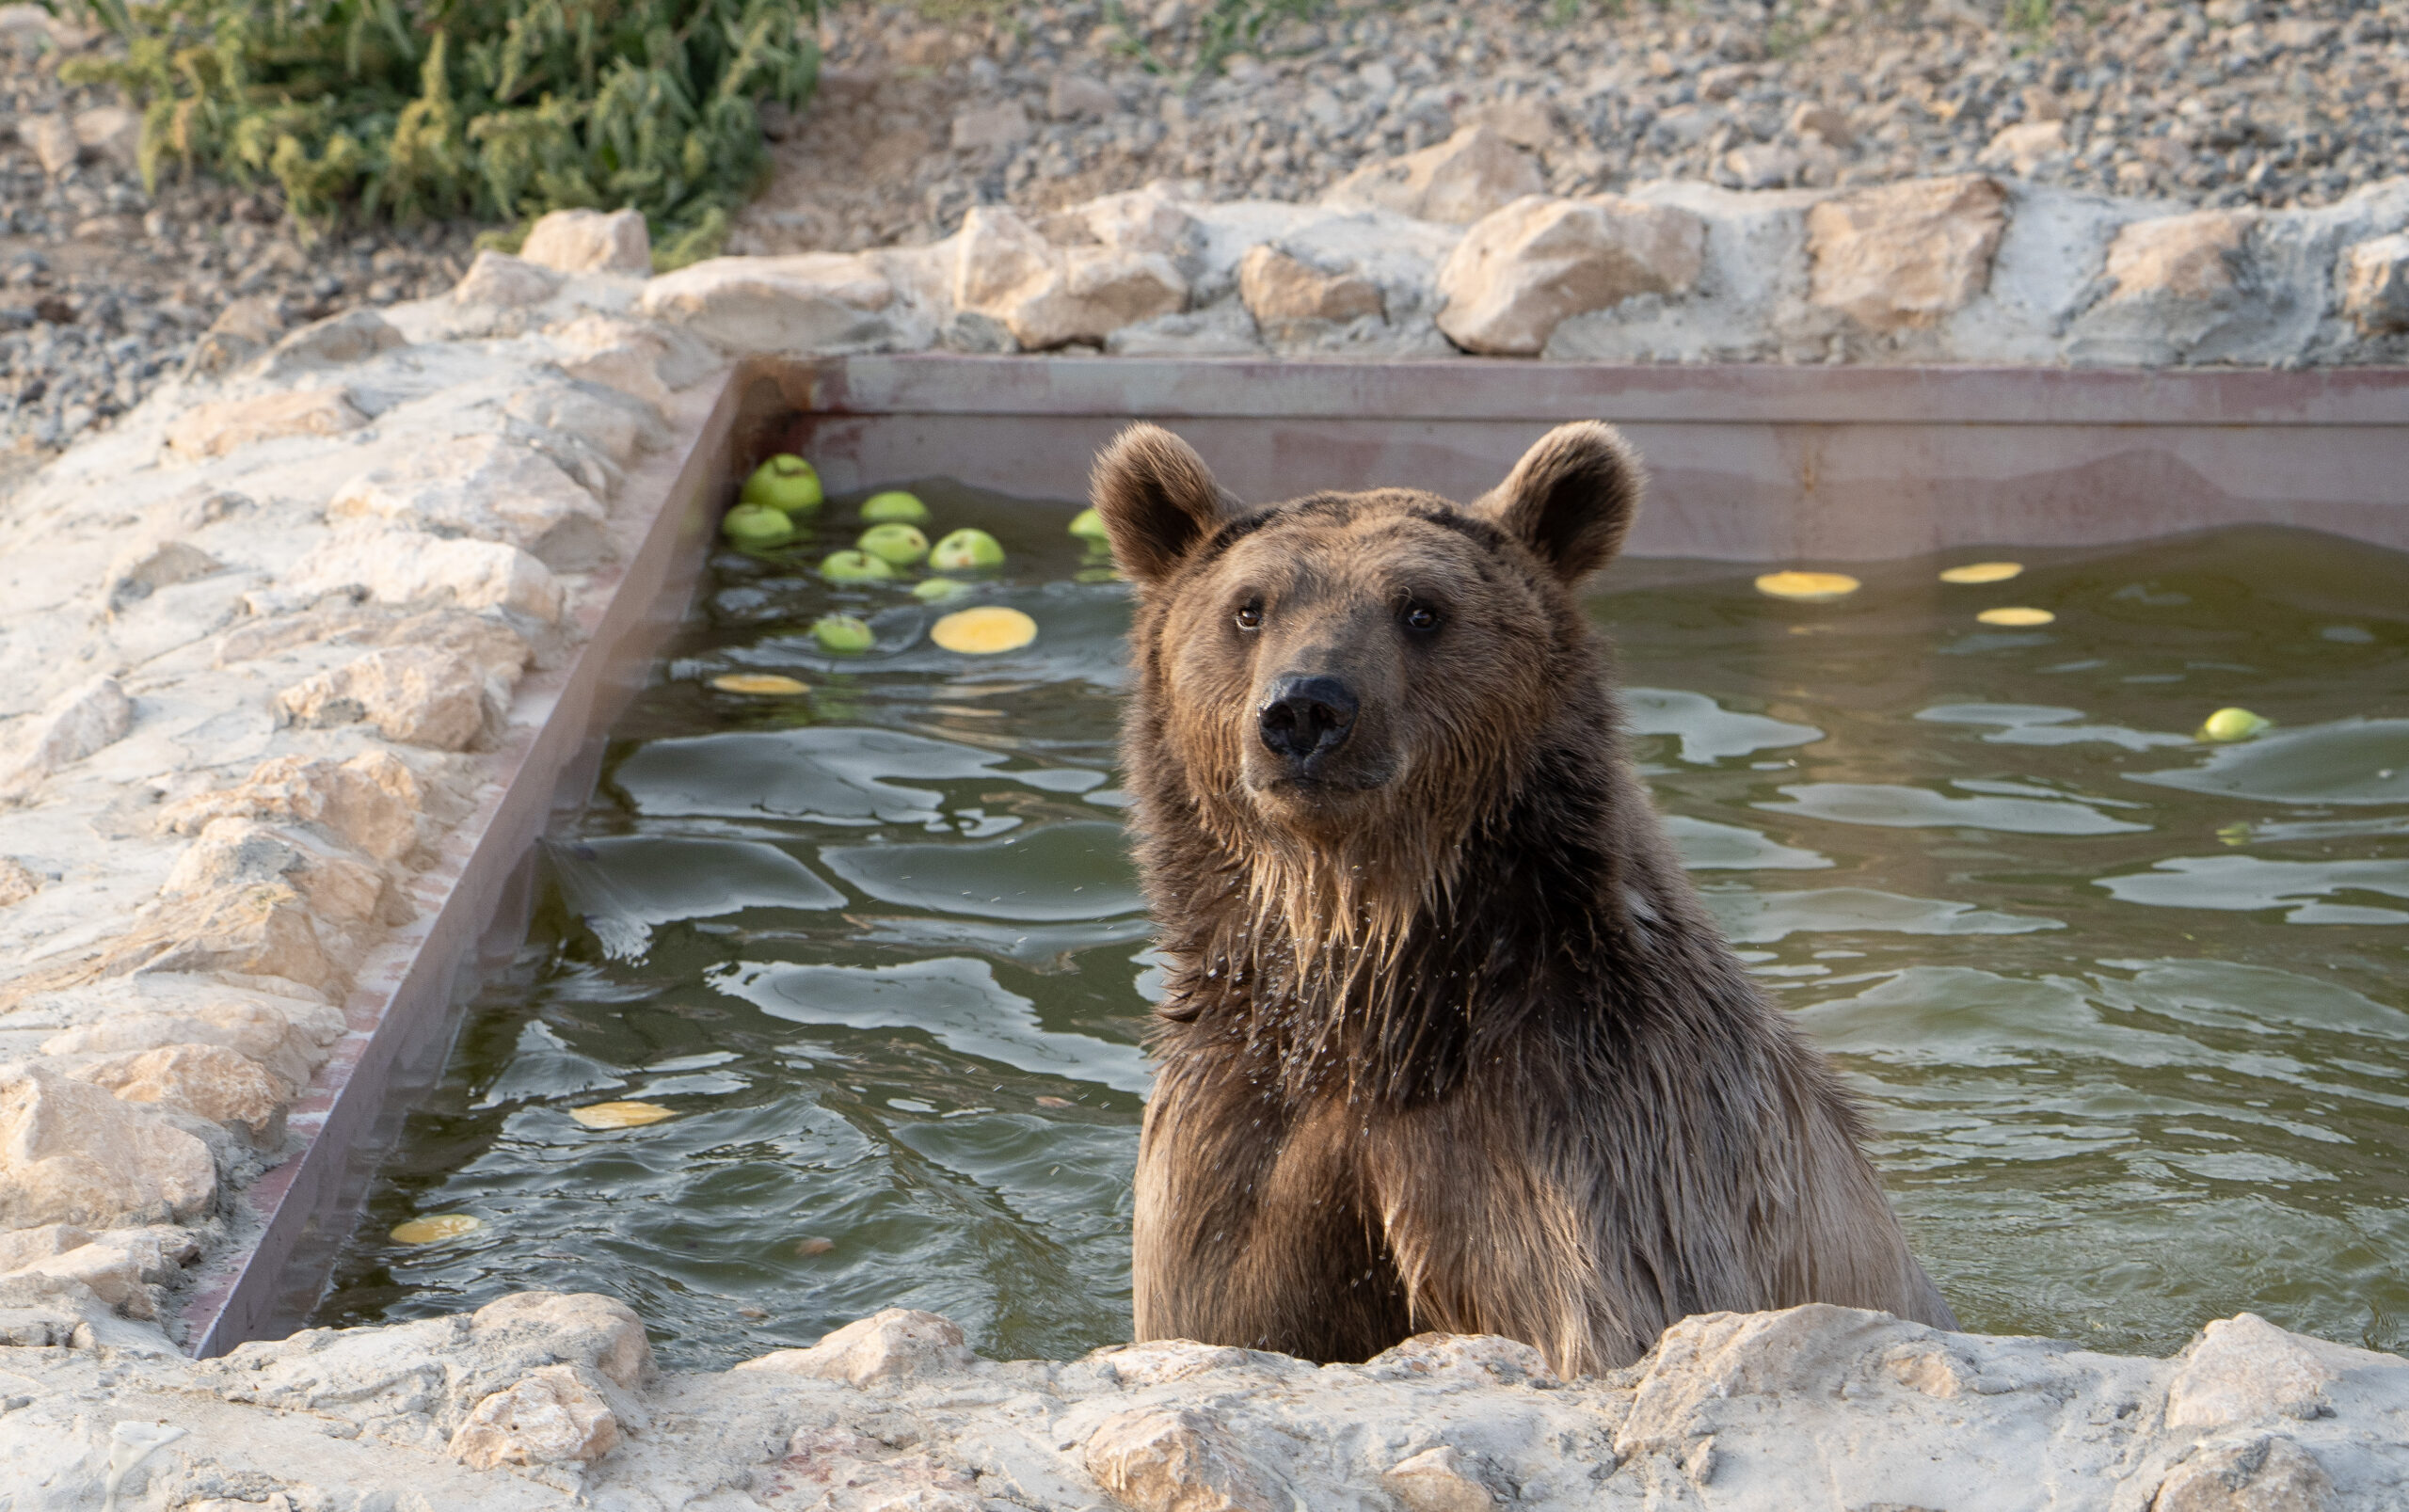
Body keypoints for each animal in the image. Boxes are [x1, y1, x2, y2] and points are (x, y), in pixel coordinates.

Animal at [1088, 418, 1959, 1377]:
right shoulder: (1237, 1137)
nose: (1307, 708)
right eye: (1250, 606)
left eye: (1421, 608)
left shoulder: (1596, 1141)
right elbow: (1218, 1298)